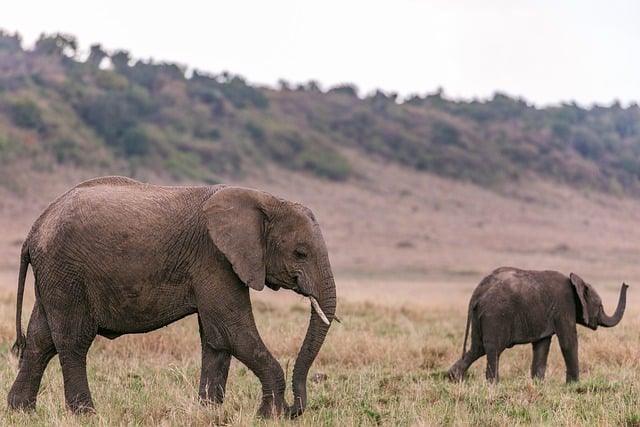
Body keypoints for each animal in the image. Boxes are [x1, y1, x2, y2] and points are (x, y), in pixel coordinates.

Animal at [7, 176, 338, 420]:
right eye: (300, 253)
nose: (296, 409)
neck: (263, 199)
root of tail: (35, 228)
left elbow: (217, 338)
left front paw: (208, 412)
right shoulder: (214, 258)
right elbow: (233, 331)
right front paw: (270, 415)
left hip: (55, 275)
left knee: (40, 339)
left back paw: (21, 411)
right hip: (67, 271)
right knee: (72, 340)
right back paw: (86, 414)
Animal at [448, 268, 628, 384]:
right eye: (600, 306)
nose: (626, 284)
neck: (576, 281)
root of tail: (477, 293)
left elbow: (542, 345)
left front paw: (538, 383)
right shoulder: (564, 307)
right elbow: (568, 343)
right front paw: (575, 385)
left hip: (481, 316)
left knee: (477, 348)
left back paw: (453, 378)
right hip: (496, 315)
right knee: (493, 348)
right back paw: (494, 384)